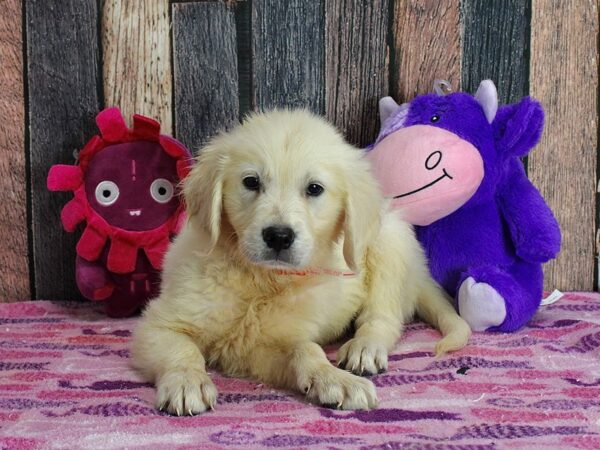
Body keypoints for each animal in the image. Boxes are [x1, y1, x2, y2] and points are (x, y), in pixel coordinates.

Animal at [130, 109, 468, 414]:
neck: (261, 279)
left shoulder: (275, 339)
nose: (279, 236)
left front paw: (336, 379)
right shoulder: (163, 324)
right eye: (251, 182)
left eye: (314, 188)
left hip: (389, 243)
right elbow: (182, 350)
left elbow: (307, 349)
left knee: (383, 317)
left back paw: (364, 349)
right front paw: (187, 383)